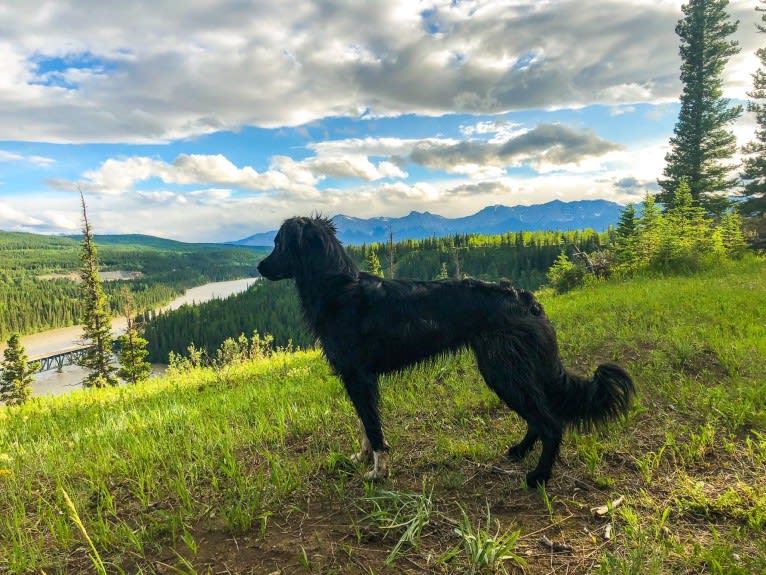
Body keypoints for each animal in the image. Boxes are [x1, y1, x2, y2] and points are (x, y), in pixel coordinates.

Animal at [260, 216, 636, 486]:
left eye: (278, 243)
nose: (259, 268)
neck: (339, 289)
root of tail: (527, 300)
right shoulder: (358, 379)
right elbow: (364, 425)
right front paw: (362, 458)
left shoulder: (359, 377)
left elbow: (373, 428)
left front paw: (378, 472)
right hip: (510, 371)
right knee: (538, 419)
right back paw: (518, 452)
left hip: (502, 371)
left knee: (552, 423)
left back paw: (539, 476)